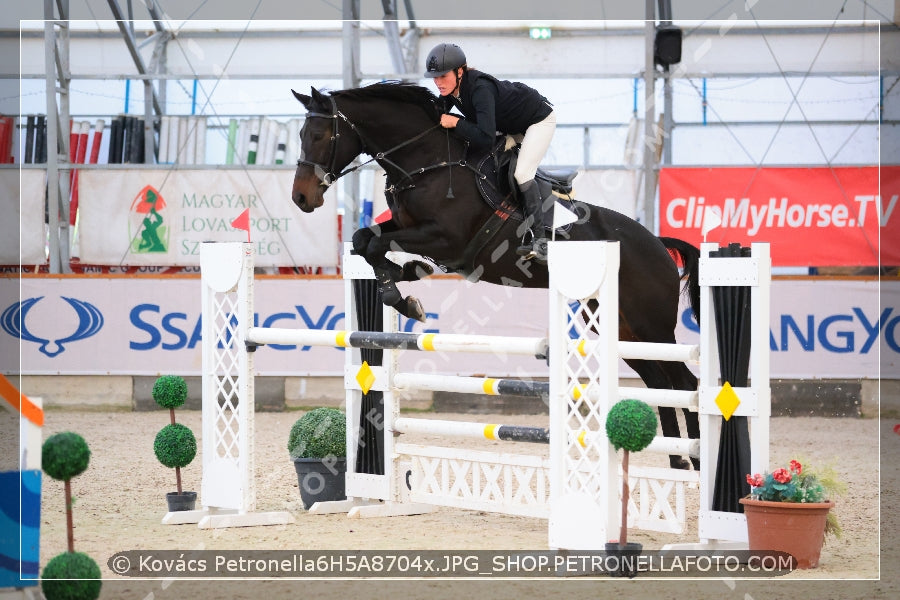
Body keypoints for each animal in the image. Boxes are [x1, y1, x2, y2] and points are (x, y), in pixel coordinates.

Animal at [294, 83, 704, 468]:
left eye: (319, 135)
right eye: (301, 134)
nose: (301, 198)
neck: (428, 160)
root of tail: (657, 244)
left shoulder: (446, 238)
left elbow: (377, 244)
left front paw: (405, 294)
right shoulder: (406, 227)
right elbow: (365, 240)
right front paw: (406, 283)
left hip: (651, 324)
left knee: (684, 382)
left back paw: (697, 460)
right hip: (617, 325)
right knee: (659, 382)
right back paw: (676, 462)